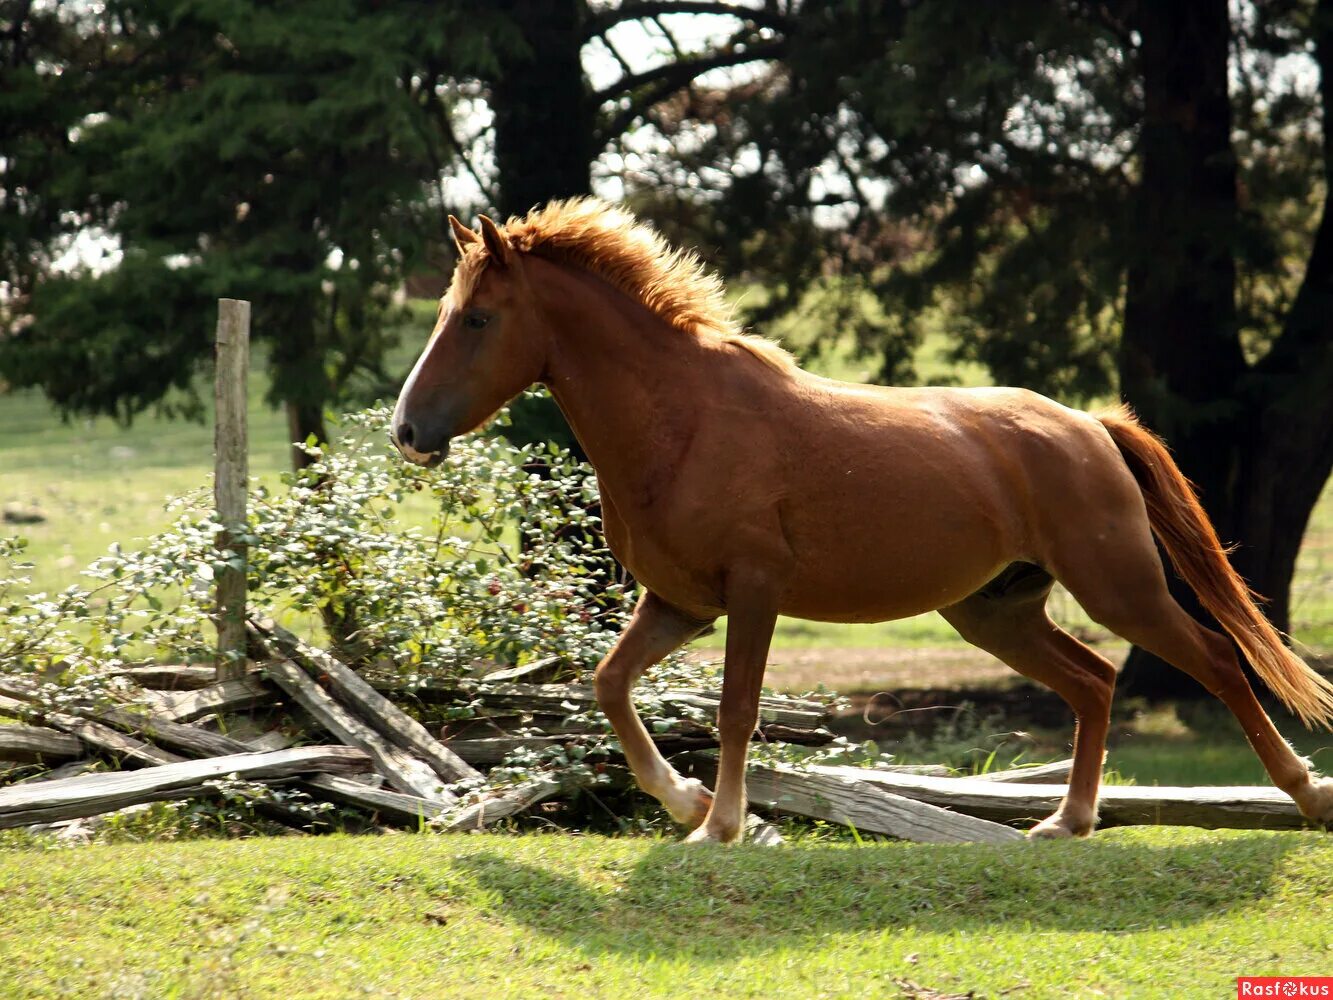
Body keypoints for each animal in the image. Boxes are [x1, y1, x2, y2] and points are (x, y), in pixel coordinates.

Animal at [394, 200, 1333, 842]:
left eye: (477, 318)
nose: (406, 431)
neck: (682, 422)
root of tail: (1088, 425)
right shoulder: (679, 603)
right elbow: (609, 686)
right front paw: (687, 802)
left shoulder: (753, 591)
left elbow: (735, 709)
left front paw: (723, 825)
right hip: (995, 611)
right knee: (1095, 683)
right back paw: (1065, 822)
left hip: (1119, 588)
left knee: (1215, 660)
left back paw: (1304, 794)